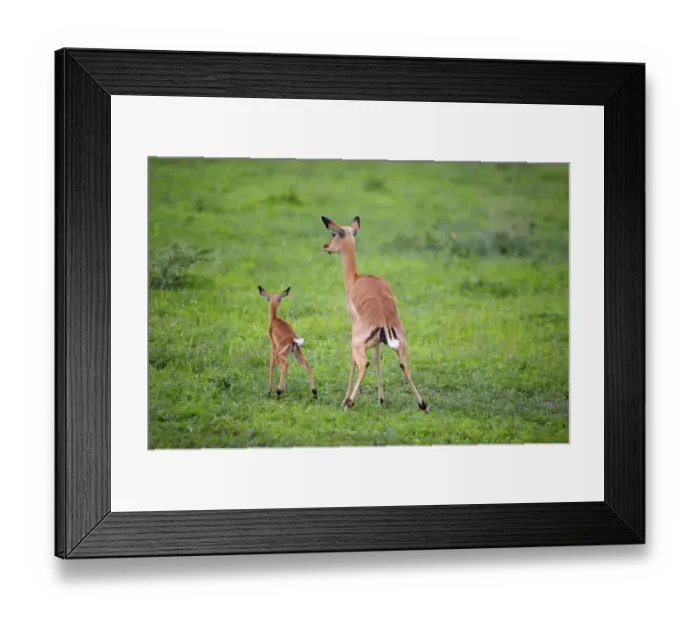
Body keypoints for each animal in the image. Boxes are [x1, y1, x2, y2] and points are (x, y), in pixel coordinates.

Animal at [321, 216, 428, 412]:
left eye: (333, 234)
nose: (326, 246)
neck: (355, 279)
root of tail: (385, 319)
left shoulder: (353, 324)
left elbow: (352, 361)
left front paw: (344, 400)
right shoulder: (378, 342)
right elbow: (378, 359)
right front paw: (381, 399)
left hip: (358, 344)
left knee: (363, 363)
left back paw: (349, 403)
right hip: (401, 345)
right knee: (404, 365)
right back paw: (423, 405)